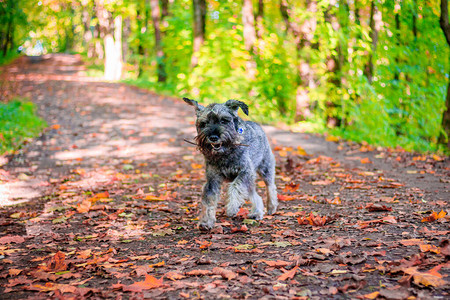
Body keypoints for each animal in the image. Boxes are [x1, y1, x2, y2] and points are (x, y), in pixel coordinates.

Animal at [184, 98, 278, 230]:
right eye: (204, 123)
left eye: (224, 120)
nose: (213, 137)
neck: (225, 152)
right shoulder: (213, 180)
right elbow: (209, 200)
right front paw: (206, 222)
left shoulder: (245, 173)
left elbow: (235, 187)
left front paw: (232, 208)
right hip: (250, 181)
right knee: (254, 194)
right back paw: (257, 212)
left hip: (265, 168)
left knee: (270, 187)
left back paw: (271, 206)